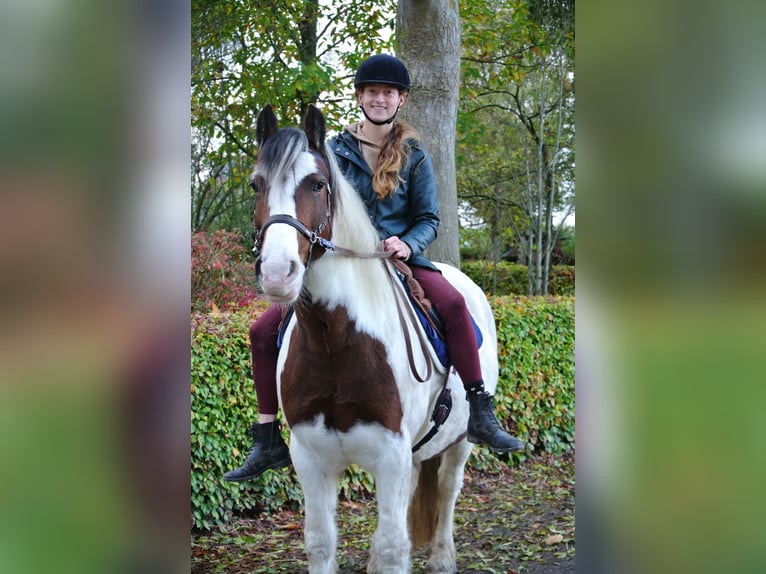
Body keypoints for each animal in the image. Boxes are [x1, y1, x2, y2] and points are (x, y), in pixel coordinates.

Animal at [252, 104, 504, 574]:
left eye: (317, 184)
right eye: (256, 184)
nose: (278, 274)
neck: (334, 339)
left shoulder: (390, 455)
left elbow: (392, 547)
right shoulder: (312, 459)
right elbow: (321, 543)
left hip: (459, 442)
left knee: (448, 488)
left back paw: (442, 557)